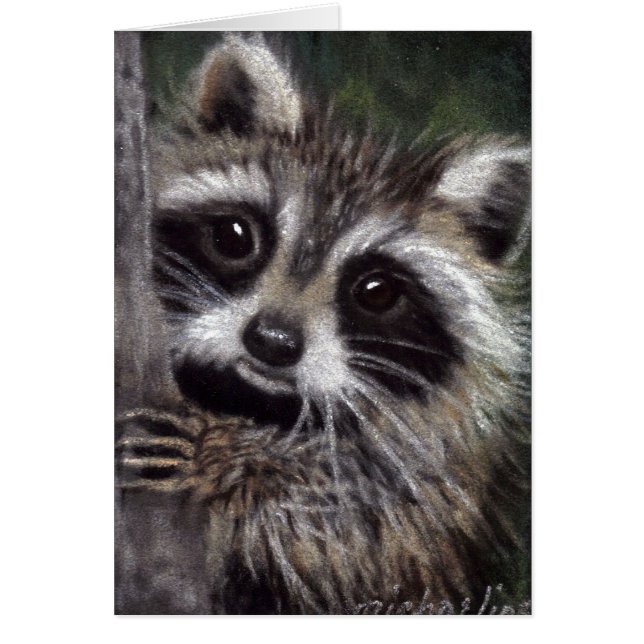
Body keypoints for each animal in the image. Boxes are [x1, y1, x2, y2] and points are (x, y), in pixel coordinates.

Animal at [117, 34, 531, 614]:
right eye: (235, 238)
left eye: (376, 291)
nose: (272, 343)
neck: (251, 399)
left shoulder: (423, 492)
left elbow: (347, 526)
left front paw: (234, 459)